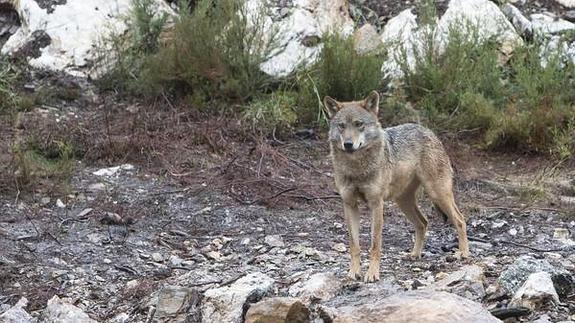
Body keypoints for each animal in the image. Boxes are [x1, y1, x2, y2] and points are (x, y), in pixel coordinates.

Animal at [322, 91, 470, 284]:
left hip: (437, 194)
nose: (348, 144)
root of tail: (428, 130)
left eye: (359, 124)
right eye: (341, 126)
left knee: (460, 219)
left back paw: (463, 253)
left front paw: (372, 274)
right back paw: (414, 254)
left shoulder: (376, 204)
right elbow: (354, 245)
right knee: (423, 222)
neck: (357, 169)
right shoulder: (349, 204)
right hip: (403, 202)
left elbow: (375, 244)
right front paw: (354, 272)